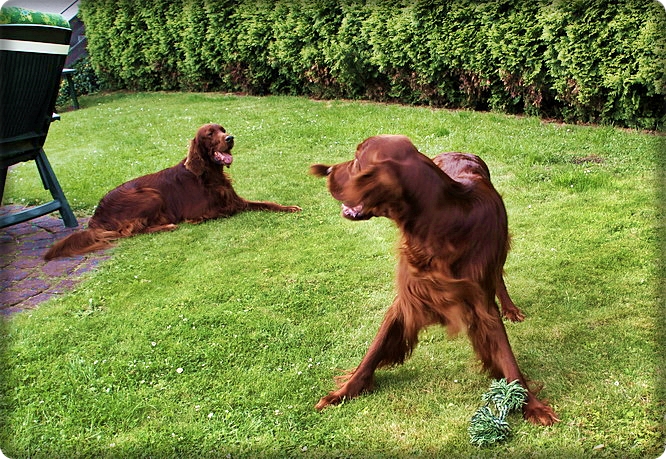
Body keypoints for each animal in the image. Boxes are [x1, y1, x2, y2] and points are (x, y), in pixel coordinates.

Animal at [45, 123, 301, 259]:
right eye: (210, 134)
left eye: (223, 129)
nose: (230, 138)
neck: (209, 174)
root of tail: (97, 216)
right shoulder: (202, 212)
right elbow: (220, 213)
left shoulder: (236, 200)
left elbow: (266, 204)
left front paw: (290, 207)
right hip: (150, 195)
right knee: (130, 231)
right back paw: (167, 226)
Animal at [310, 135, 558, 425]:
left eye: (358, 160)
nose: (327, 171)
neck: (440, 224)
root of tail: (459, 151)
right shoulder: (409, 297)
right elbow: (375, 349)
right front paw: (344, 391)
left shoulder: (481, 303)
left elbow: (506, 357)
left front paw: (532, 405)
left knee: (498, 275)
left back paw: (510, 308)